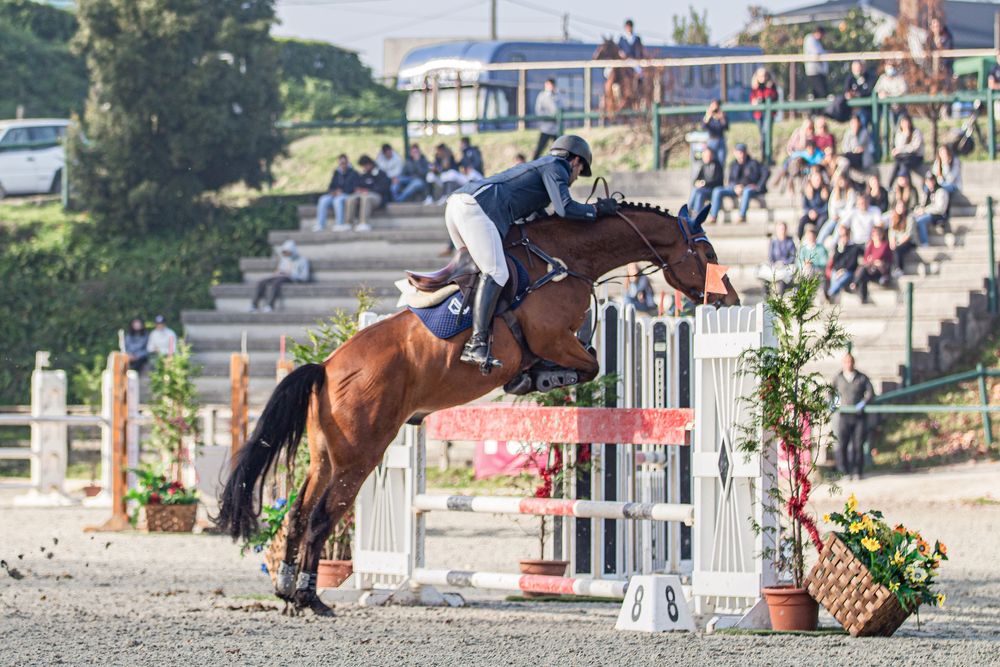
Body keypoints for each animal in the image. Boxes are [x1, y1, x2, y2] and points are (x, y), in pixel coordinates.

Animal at [214, 202, 740, 615]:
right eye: (709, 254)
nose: (730, 300)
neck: (566, 259)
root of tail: (325, 367)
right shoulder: (555, 339)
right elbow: (587, 364)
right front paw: (538, 378)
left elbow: (587, 362)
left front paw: (535, 378)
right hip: (360, 456)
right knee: (323, 517)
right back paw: (311, 599)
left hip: (326, 457)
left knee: (299, 513)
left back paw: (287, 593)